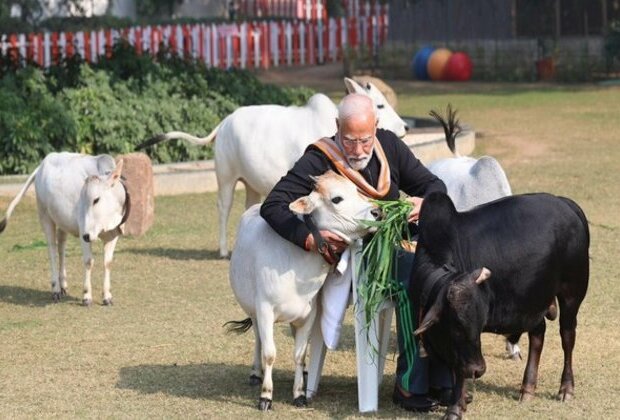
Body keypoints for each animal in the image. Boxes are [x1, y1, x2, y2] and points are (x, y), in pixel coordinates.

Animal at [0, 153, 130, 304]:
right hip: (45, 216)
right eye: (82, 199)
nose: (87, 236)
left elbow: (107, 263)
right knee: (52, 250)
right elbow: (88, 261)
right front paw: (86, 296)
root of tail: (42, 165)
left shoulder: (113, 235)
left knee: (61, 248)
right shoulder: (83, 232)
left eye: (96, 199)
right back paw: (56, 289)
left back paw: (63, 285)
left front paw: (107, 296)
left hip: (62, 222)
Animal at [136, 77, 406, 258]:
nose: (404, 127)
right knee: (223, 207)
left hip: (250, 184)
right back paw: (223, 250)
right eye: (380, 105)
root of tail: (224, 122)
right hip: (226, 177)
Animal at [225, 171, 376, 410]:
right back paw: (256, 373)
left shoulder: (308, 315)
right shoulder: (265, 310)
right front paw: (266, 396)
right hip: (253, 311)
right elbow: (269, 353)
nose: (377, 212)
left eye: (356, 190)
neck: (296, 269)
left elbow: (300, 354)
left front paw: (299, 394)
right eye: (337, 199)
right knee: (258, 339)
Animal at [410, 192, 588, 418]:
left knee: (567, 337)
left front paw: (455, 408)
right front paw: (460, 401)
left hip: (571, 295)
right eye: (457, 326)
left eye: (479, 324)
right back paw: (527, 388)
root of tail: (565, 202)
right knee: (538, 334)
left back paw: (566, 388)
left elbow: (459, 371)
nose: (478, 370)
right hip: (533, 301)